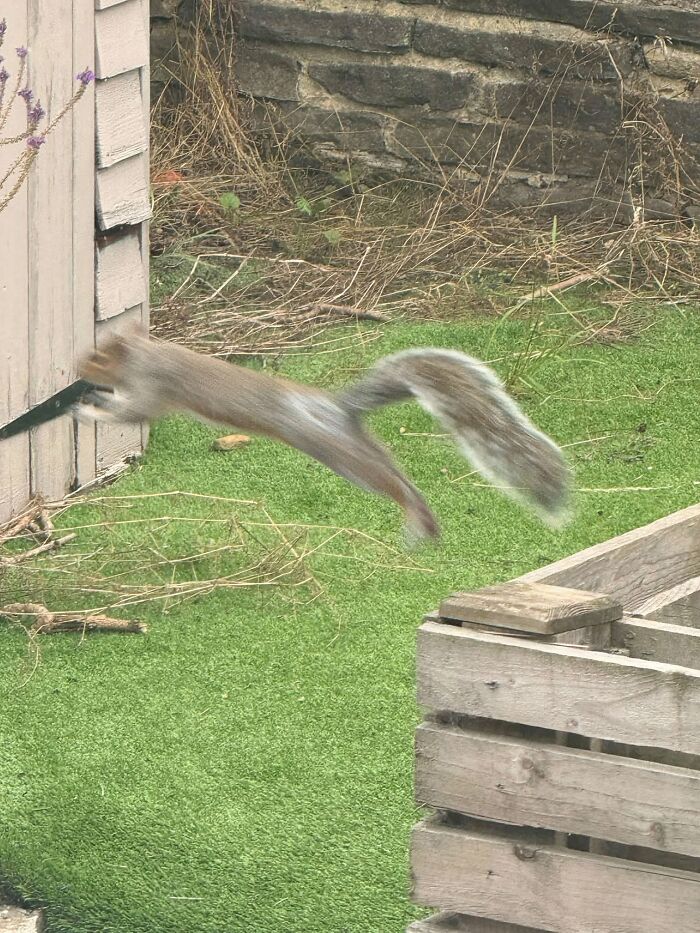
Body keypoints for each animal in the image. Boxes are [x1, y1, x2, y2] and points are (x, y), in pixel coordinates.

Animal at [76, 328, 570, 543]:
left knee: (390, 484)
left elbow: (132, 412)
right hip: (357, 444)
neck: (145, 355)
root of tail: (336, 408)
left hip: (335, 452)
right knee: (398, 474)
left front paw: (88, 408)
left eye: (99, 357)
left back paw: (417, 517)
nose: (80, 368)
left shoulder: (153, 386)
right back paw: (426, 520)